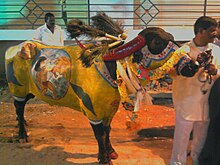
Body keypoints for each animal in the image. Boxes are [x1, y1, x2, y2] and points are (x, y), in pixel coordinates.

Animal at [5, 13, 201, 165]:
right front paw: (104, 158)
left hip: (28, 92)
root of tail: (15, 48)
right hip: (18, 91)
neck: (110, 68)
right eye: (158, 41)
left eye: (172, 38)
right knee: (19, 108)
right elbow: (99, 135)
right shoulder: (93, 112)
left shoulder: (109, 110)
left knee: (20, 109)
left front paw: (111, 151)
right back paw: (22, 134)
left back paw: (23, 123)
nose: (193, 65)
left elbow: (108, 132)